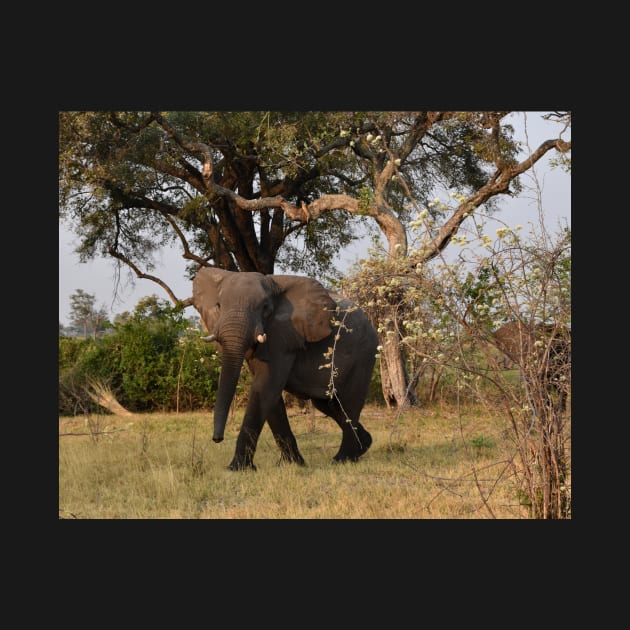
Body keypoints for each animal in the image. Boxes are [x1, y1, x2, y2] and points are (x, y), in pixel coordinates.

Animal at [193, 270, 380, 472]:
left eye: (265, 308)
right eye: (219, 306)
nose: (217, 439)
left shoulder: (283, 336)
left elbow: (265, 388)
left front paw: (236, 469)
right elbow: (269, 395)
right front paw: (293, 463)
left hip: (364, 354)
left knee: (349, 403)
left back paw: (342, 459)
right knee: (328, 403)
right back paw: (363, 445)